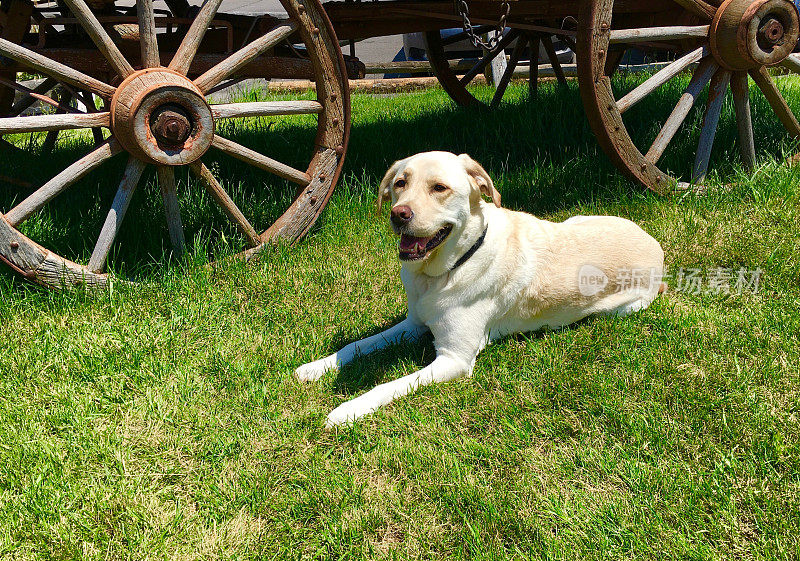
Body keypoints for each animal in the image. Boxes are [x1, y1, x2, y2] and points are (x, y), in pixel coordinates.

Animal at [294, 151, 664, 426]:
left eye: (439, 188)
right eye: (400, 183)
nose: (399, 214)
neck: (441, 273)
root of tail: (655, 244)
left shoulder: (453, 359)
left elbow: (387, 385)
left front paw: (347, 411)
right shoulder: (414, 324)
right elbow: (356, 345)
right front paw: (316, 367)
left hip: (625, 308)